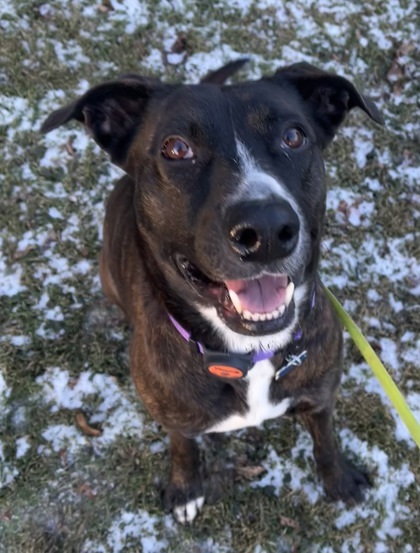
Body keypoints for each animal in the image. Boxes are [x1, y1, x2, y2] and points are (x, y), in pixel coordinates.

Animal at [41, 59, 382, 520]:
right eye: (176, 148)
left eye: (294, 137)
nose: (267, 230)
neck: (249, 353)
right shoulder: (175, 418)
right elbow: (182, 448)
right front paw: (186, 490)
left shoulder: (320, 395)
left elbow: (326, 440)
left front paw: (340, 479)